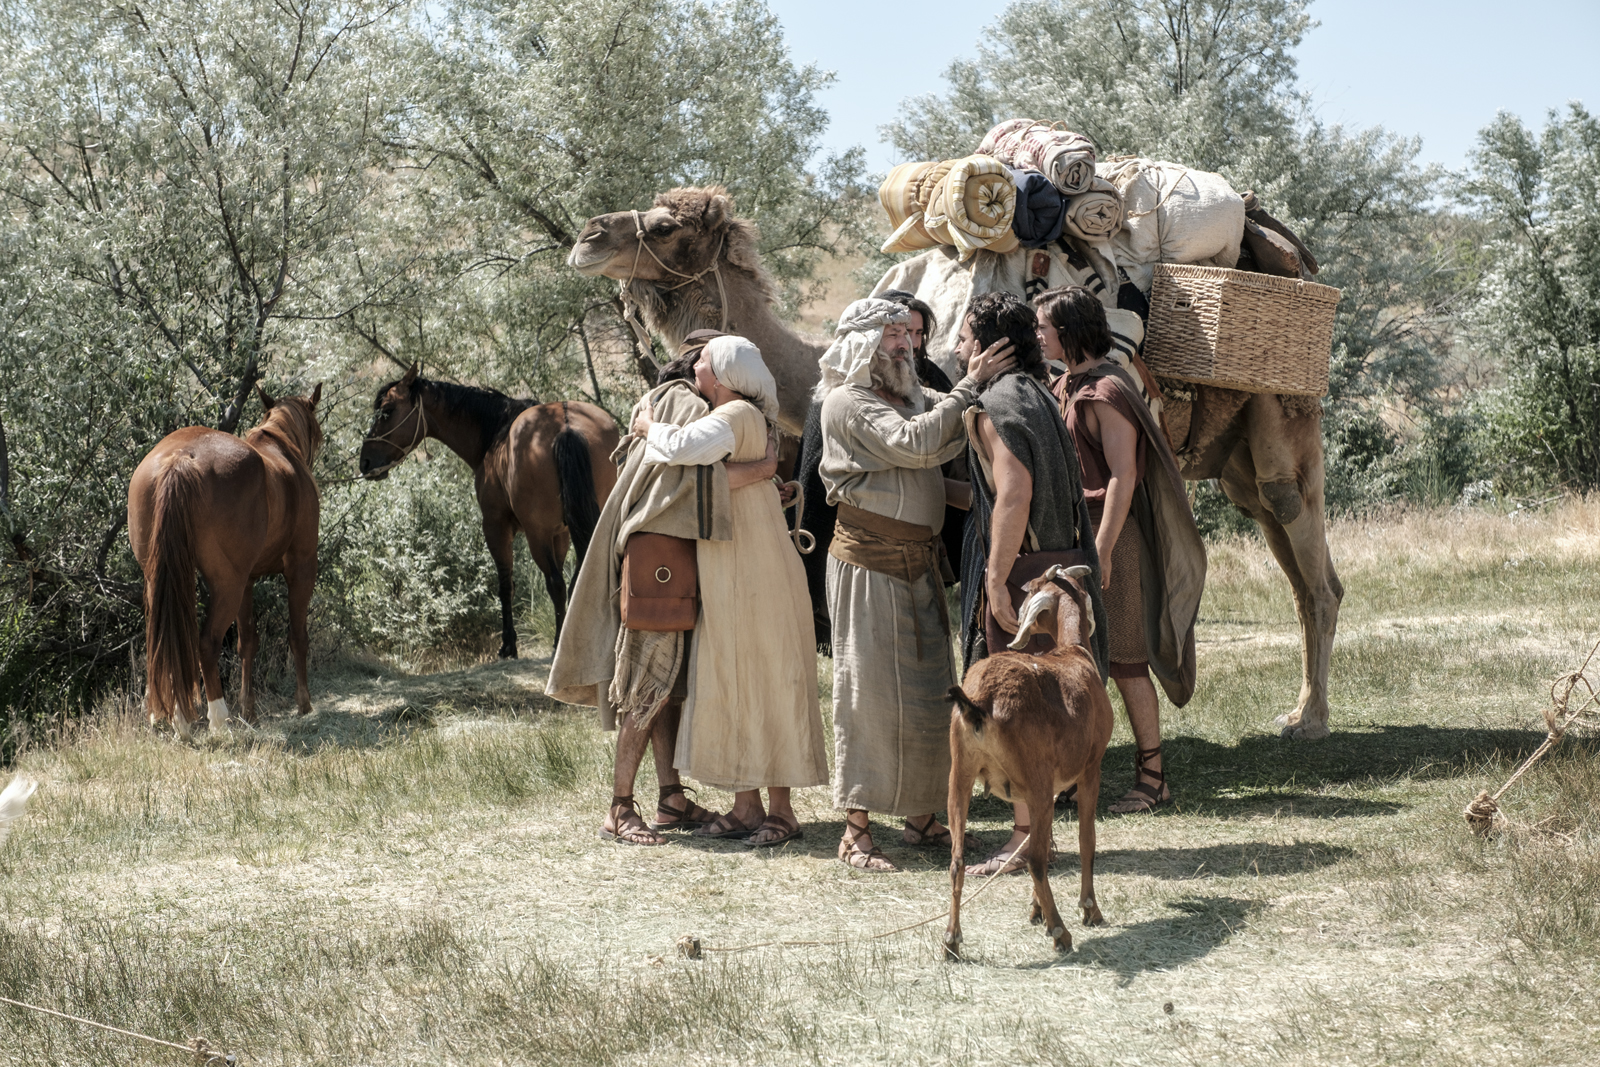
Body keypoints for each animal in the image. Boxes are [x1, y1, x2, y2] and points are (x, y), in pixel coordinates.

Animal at [128, 383, 324, 735]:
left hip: (163, 579)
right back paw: (218, 720)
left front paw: (250, 710)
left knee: (161, 641)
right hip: (226, 584)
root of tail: (180, 459)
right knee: (207, 642)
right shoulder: (302, 568)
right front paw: (304, 704)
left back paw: (172, 716)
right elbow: (297, 636)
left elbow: (247, 642)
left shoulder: (247, 581)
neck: (280, 448)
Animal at [358, 364, 617, 652]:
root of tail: (567, 426)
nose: (365, 462)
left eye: (388, 410)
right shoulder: (561, 533)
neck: (496, 434)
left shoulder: (496, 527)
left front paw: (508, 644)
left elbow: (506, 585)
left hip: (536, 534)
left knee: (555, 584)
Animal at [569, 187, 1344, 739]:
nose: (586, 236)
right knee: (1295, 558)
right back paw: (1297, 711)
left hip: (1280, 422)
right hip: (1238, 460)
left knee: (1312, 561)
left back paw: (1308, 722)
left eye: (663, 226)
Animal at [940, 566, 1107, 959]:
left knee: (957, 860)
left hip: (961, 775)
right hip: (1039, 782)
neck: (1074, 653)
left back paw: (951, 941)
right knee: (1036, 858)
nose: (1012, 614)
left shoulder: (1034, 789)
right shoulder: (1090, 768)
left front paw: (1036, 911)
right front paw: (1088, 909)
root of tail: (979, 700)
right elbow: (1086, 838)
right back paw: (1062, 933)